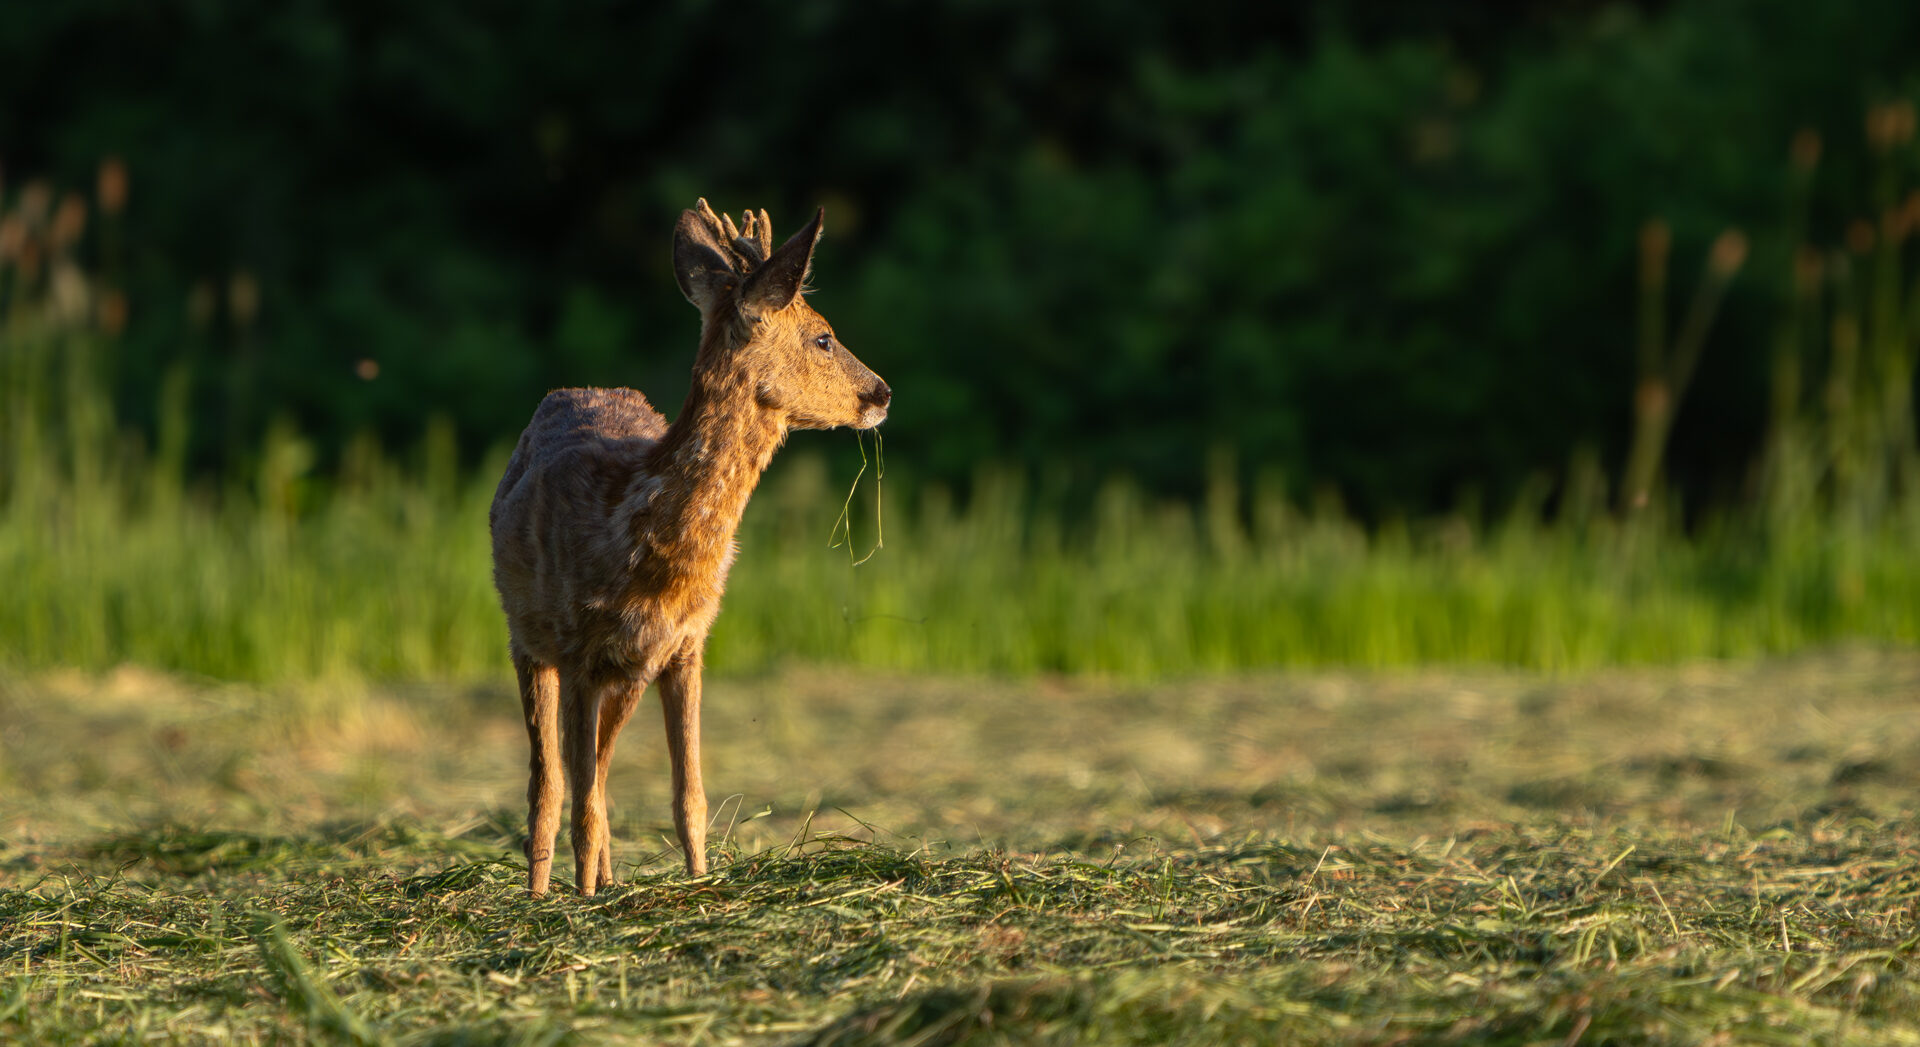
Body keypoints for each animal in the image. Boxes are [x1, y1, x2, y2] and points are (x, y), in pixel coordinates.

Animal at [491, 199, 887, 895]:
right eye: (823, 336)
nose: (883, 393)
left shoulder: (686, 645)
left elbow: (689, 797)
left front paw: (700, 884)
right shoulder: (576, 647)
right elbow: (578, 800)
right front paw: (576, 904)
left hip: (629, 673)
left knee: (598, 771)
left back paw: (606, 881)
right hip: (528, 641)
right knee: (551, 783)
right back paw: (545, 893)